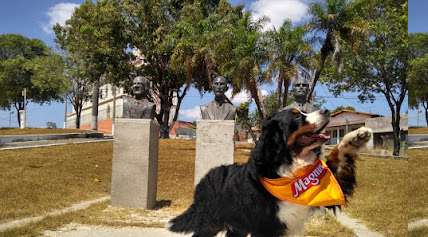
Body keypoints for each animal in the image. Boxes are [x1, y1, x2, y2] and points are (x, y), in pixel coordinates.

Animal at [167, 108, 372, 237]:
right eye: (297, 116)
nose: (326, 110)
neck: (288, 169)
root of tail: (205, 177)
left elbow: (339, 156)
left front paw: (357, 137)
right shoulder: (265, 227)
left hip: (237, 225)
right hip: (210, 222)